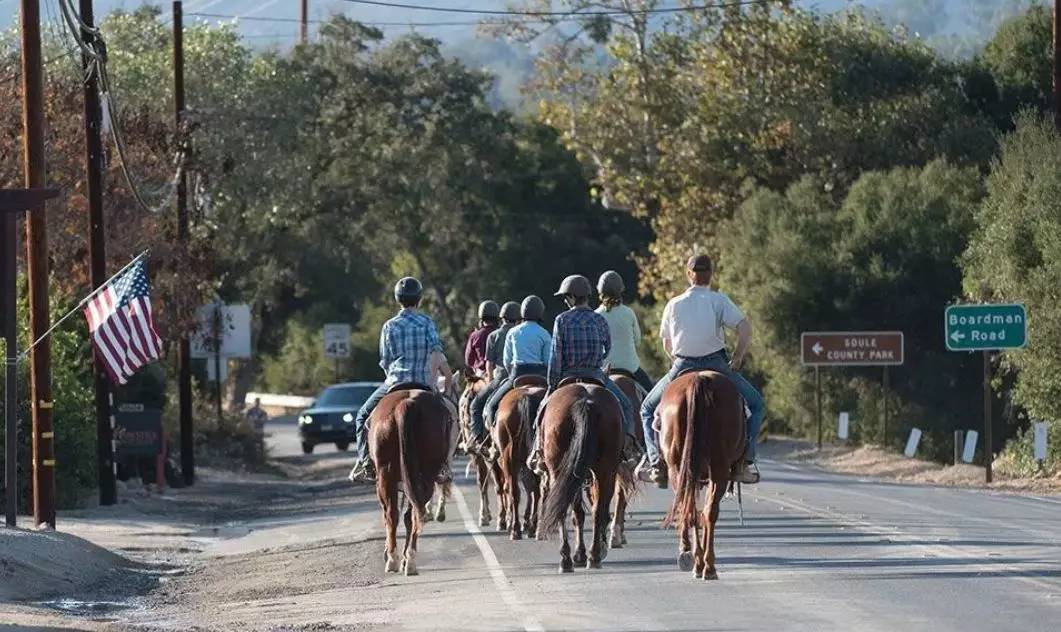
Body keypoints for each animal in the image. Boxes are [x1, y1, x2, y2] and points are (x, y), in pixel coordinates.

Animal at [369, 388, 451, 576]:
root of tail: (407, 403)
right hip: (425, 475)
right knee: (414, 514)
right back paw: (409, 560)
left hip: (386, 476)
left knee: (393, 514)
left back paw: (395, 559)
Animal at [492, 375, 547, 538]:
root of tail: (526, 396)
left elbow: (505, 488)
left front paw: (506, 521)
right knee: (536, 490)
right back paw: (533, 527)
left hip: (508, 457)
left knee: (514, 491)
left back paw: (515, 528)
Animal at [538, 379, 628, 572]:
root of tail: (586, 402)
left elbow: (576, 512)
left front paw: (579, 555)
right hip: (605, 470)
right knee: (597, 510)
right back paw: (593, 556)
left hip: (560, 471)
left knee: (565, 509)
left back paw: (568, 559)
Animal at [657, 371, 742, 581]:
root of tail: (699, 379)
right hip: (717, 469)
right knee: (707, 511)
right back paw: (706, 565)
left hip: (679, 469)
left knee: (692, 509)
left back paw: (698, 561)